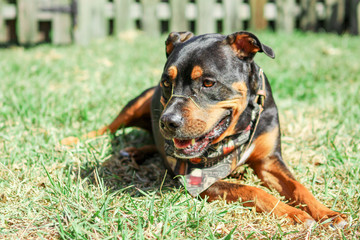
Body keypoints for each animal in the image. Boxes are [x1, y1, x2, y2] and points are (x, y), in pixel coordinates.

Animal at [64, 31, 346, 226]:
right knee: (108, 127)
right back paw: (71, 140)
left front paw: (328, 214)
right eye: (166, 82)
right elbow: (253, 190)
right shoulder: (198, 178)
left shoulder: (270, 160)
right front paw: (294, 214)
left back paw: (134, 152)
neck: (238, 129)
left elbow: (299, 187)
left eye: (208, 82)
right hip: (137, 103)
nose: (167, 121)